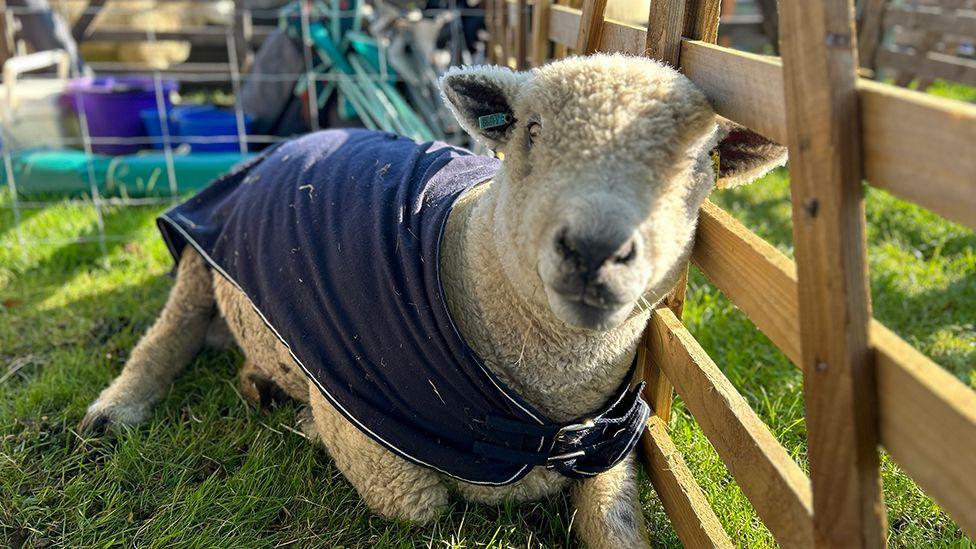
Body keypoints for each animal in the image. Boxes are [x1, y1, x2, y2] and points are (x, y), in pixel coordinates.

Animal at [80, 52, 788, 548]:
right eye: (531, 130)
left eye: (698, 164)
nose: (593, 248)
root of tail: (302, 137)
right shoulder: (365, 430)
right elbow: (418, 502)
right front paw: (311, 425)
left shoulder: (610, 444)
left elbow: (617, 524)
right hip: (202, 254)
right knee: (167, 333)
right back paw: (114, 412)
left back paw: (255, 381)